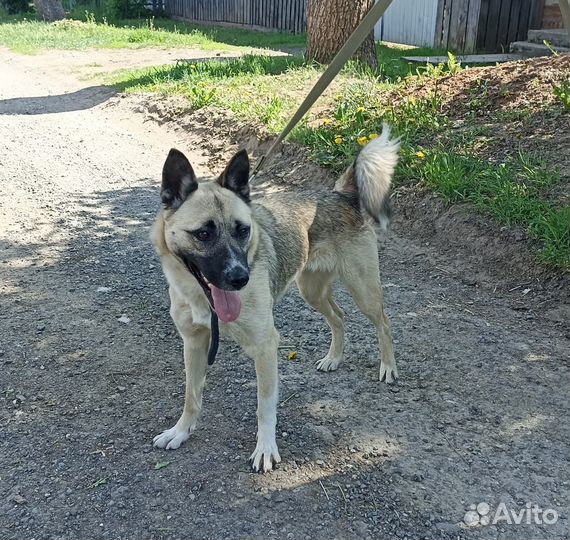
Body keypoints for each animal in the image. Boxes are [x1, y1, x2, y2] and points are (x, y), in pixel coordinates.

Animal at [151, 124, 400, 470]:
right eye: (203, 234)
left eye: (243, 230)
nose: (240, 277)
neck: (204, 299)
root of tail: (340, 194)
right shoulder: (193, 343)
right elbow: (191, 395)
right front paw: (181, 431)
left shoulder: (265, 346)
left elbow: (264, 406)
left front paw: (266, 449)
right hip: (312, 291)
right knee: (339, 317)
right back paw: (334, 358)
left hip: (363, 290)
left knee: (383, 322)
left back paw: (388, 366)